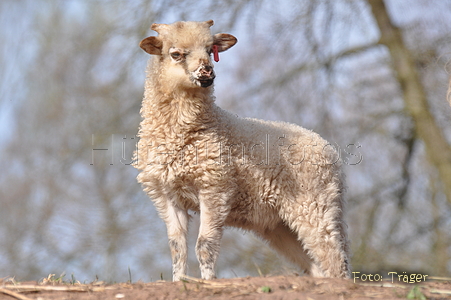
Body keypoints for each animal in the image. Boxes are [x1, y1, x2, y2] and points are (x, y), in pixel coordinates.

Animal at [134, 19, 354, 280]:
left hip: (315, 206)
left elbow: (205, 245)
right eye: (175, 54)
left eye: (209, 49)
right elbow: (177, 247)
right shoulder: (166, 194)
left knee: (334, 257)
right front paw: (179, 281)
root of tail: (329, 150)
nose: (207, 71)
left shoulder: (215, 188)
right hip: (280, 224)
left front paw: (208, 281)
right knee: (318, 266)